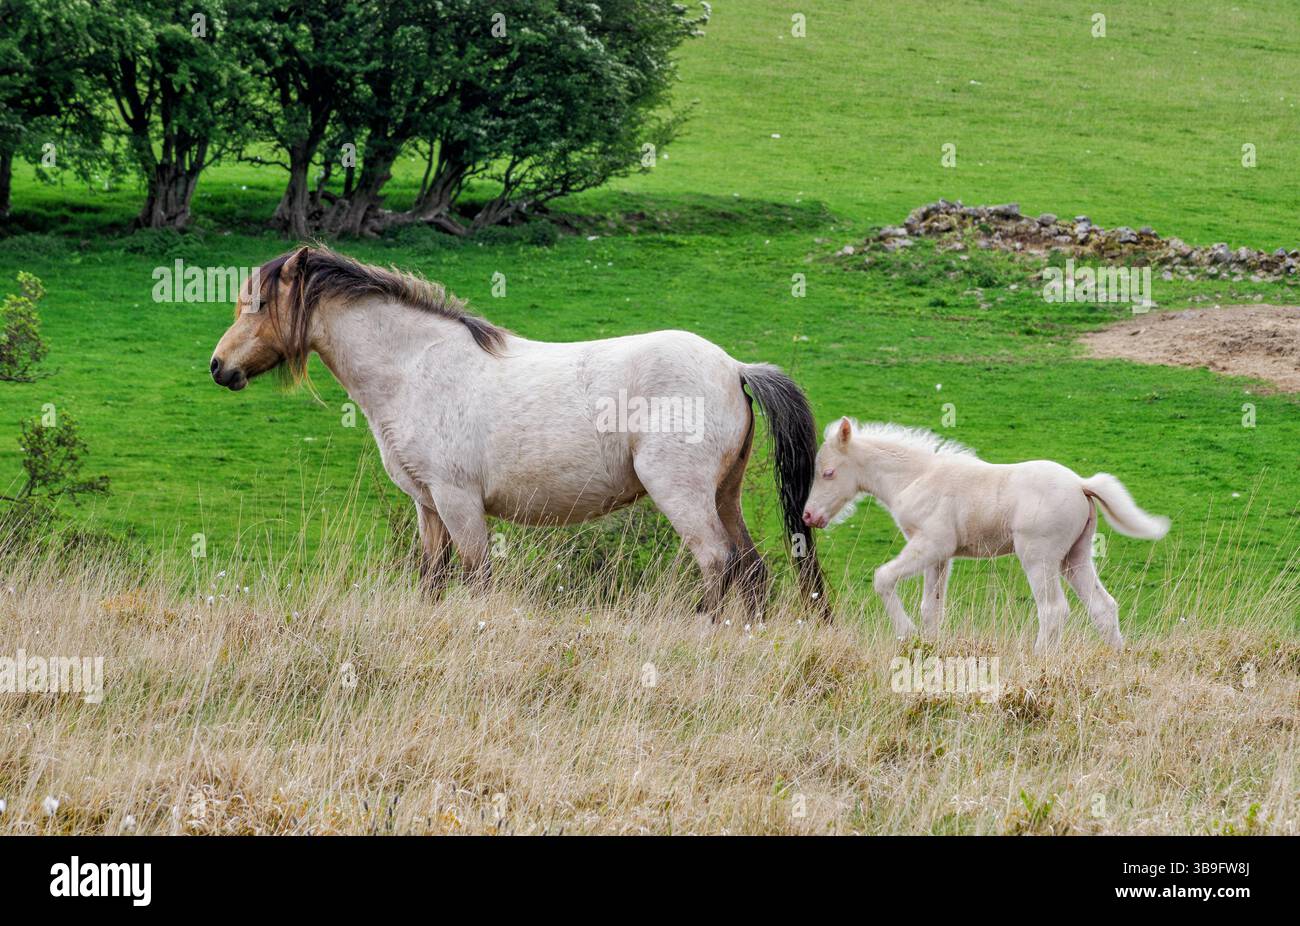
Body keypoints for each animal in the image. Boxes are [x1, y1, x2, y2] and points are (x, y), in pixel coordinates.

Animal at [209, 246, 827, 618]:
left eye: (256, 303)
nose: (219, 367)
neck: (415, 367)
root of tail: (734, 367)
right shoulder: (429, 506)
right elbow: (432, 580)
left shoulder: (458, 501)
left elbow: (476, 577)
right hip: (724, 494)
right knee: (751, 570)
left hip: (681, 494)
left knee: (717, 563)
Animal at [801, 418, 1169, 651]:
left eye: (828, 473)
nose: (809, 515)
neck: (915, 476)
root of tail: (1081, 484)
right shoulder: (940, 556)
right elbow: (931, 607)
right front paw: (928, 646)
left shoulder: (932, 543)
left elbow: (883, 578)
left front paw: (907, 634)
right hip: (1074, 556)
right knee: (1103, 607)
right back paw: (1118, 657)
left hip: (1038, 556)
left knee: (1053, 609)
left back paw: (1037, 658)